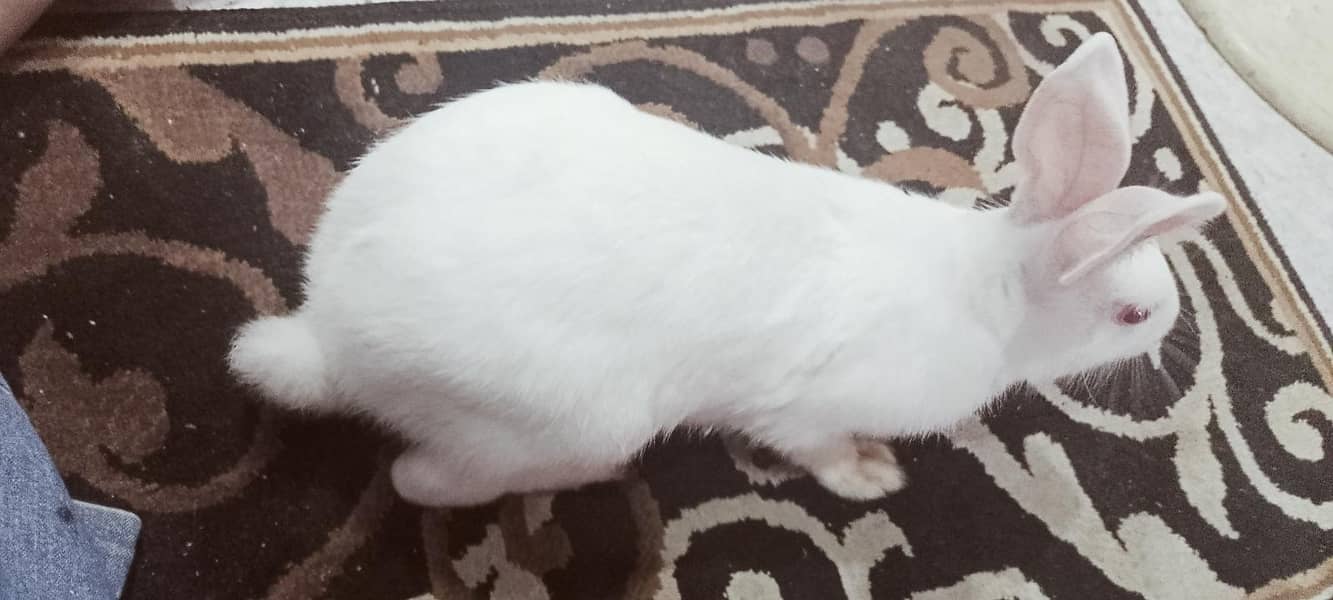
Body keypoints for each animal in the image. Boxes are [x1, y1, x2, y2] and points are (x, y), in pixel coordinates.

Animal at [228, 32, 1224, 507]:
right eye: (1133, 315)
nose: (1175, 330)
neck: (990, 297)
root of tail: (328, 338)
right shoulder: (804, 410)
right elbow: (816, 447)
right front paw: (872, 478)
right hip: (576, 422)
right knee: (421, 483)